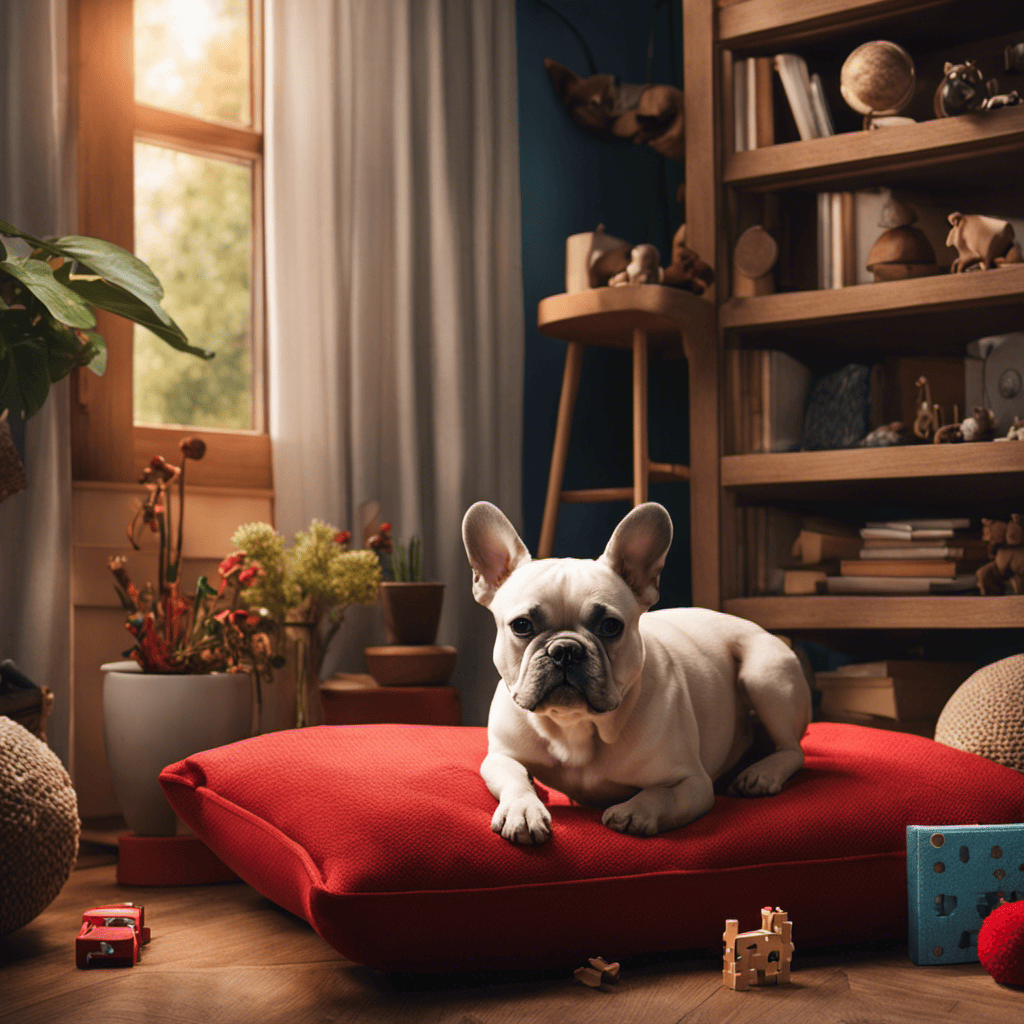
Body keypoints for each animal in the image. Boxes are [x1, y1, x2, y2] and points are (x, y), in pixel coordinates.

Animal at [460, 499, 811, 843]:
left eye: (610, 626)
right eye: (521, 625)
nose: (565, 649)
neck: (576, 725)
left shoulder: (693, 782)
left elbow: (661, 794)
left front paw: (635, 811)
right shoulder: (500, 757)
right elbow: (516, 778)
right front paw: (523, 809)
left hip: (764, 675)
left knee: (792, 750)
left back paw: (762, 773)